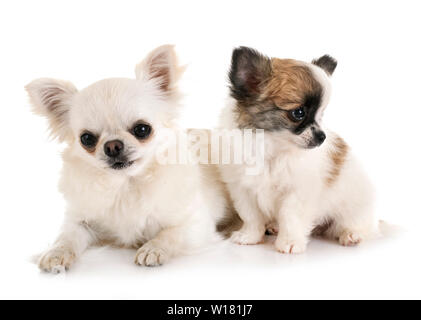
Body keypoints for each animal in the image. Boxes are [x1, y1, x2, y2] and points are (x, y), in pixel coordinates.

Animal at [26, 45, 226, 272]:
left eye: (142, 129)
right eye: (87, 139)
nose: (113, 146)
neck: (125, 185)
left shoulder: (196, 224)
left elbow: (170, 234)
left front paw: (153, 248)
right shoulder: (80, 220)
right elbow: (66, 236)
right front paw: (56, 253)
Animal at [220, 47, 378, 252]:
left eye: (321, 115)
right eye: (298, 113)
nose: (322, 136)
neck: (272, 146)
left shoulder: (297, 193)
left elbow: (290, 217)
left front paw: (290, 243)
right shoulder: (243, 189)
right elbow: (251, 216)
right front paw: (250, 236)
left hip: (354, 206)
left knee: (358, 223)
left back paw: (352, 235)